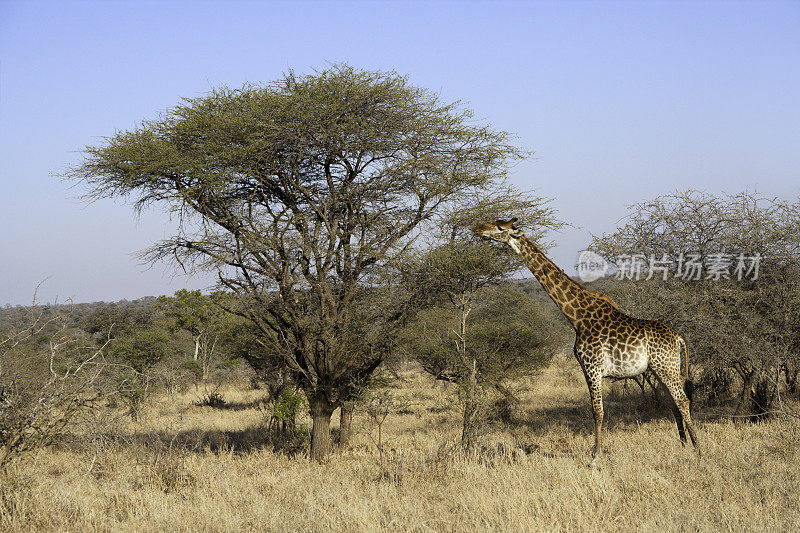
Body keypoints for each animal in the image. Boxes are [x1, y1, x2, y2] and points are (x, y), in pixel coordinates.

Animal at [476, 218, 700, 464]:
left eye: (500, 228)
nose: (477, 228)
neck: (577, 317)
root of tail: (678, 337)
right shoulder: (586, 369)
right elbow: (596, 410)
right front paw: (596, 452)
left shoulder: (592, 367)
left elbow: (597, 411)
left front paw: (595, 456)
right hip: (661, 369)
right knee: (674, 402)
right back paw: (683, 445)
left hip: (666, 366)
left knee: (682, 400)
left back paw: (698, 448)